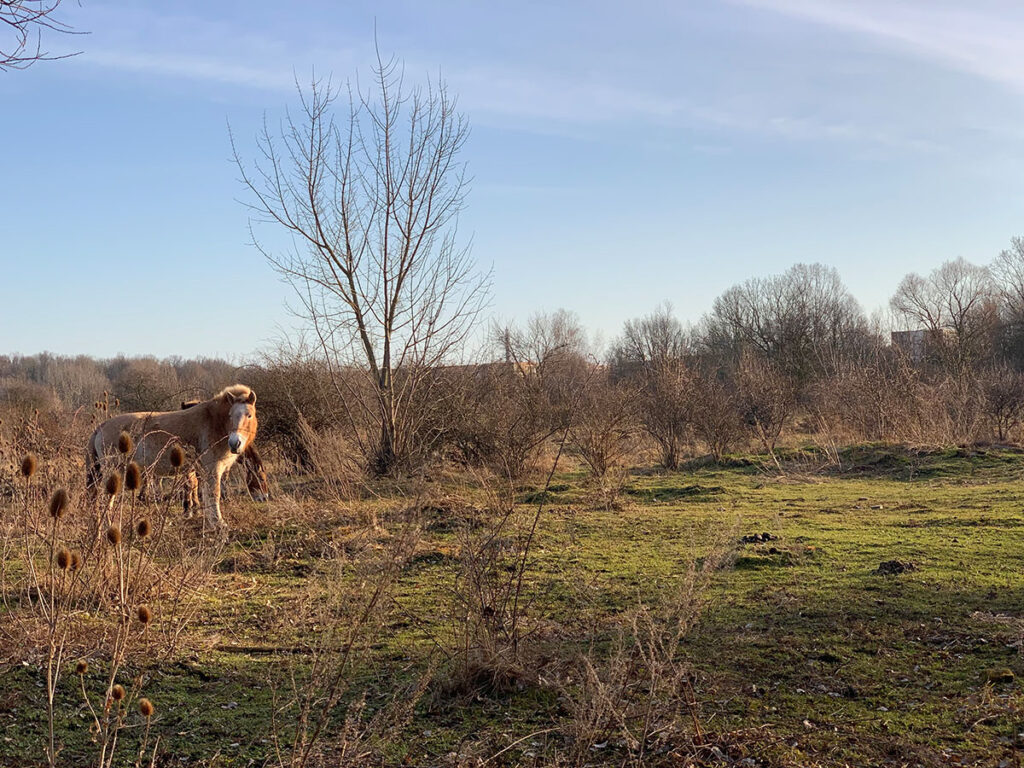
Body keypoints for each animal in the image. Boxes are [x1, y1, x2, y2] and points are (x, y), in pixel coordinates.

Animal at [86, 387, 258, 532]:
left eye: (249, 415)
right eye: (230, 416)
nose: (235, 443)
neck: (214, 422)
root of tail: (101, 426)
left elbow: (206, 494)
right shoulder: (212, 469)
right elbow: (214, 494)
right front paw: (219, 525)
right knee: (104, 500)